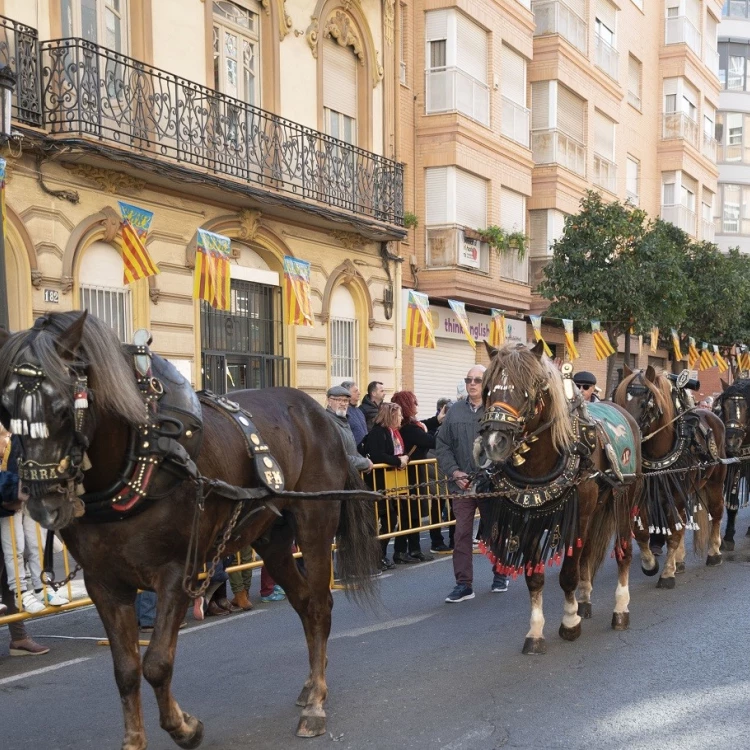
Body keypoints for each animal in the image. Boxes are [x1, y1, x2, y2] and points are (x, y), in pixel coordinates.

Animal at [0, 312, 378, 750]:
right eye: (6, 409)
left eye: (63, 407)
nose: (42, 501)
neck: (140, 454)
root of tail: (321, 415)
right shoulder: (104, 583)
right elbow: (126, 670)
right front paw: (136, 740)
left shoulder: (175, 573)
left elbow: (157, 663)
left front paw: (185, 727)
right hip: (272, 539)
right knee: (302, 602)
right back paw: (311, 684)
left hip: (315, 525)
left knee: (318, 605)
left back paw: (316, 701)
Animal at [478, 344, 644, 656]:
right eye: (487, 389)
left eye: (527, 388)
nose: (495, 442)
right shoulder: (530, 518)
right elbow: (535, 577)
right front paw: (535, 633)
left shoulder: (577, 517)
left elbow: (567, 573)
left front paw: (569, 621)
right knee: (589, 552)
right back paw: (586, 601)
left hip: (624, 495)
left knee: (623, 551)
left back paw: (621, 608)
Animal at [612, 368, 724, 592]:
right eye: (619, 400)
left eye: (646, 403)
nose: (628, 434)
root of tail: (712, 415)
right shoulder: (646, 496)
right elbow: (642, 533)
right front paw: (650, 564)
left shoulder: (676, 495)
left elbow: (673, 533)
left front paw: (666, 574)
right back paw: (679, 561)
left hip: (715, 481)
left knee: (716, 514)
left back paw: (714, 552)